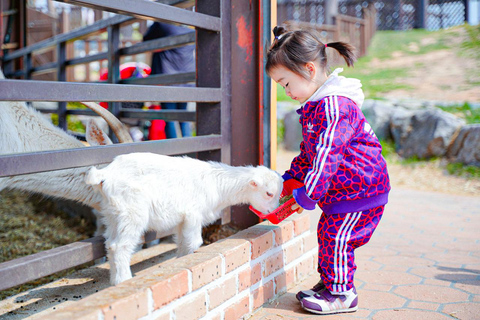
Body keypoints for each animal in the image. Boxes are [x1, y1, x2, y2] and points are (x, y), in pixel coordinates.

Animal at [84, 152, 284, 284]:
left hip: (113, 214)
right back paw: (123, 280)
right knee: (120, 246)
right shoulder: (193, 214)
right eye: (269, 193)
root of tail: (106, 174)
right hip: (132, 212)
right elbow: (194, 242)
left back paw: (114, 280)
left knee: (110, 244)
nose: (273, 211)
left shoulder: (182, 221)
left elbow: (182, 243)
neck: (217, 183)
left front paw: (180, 261)